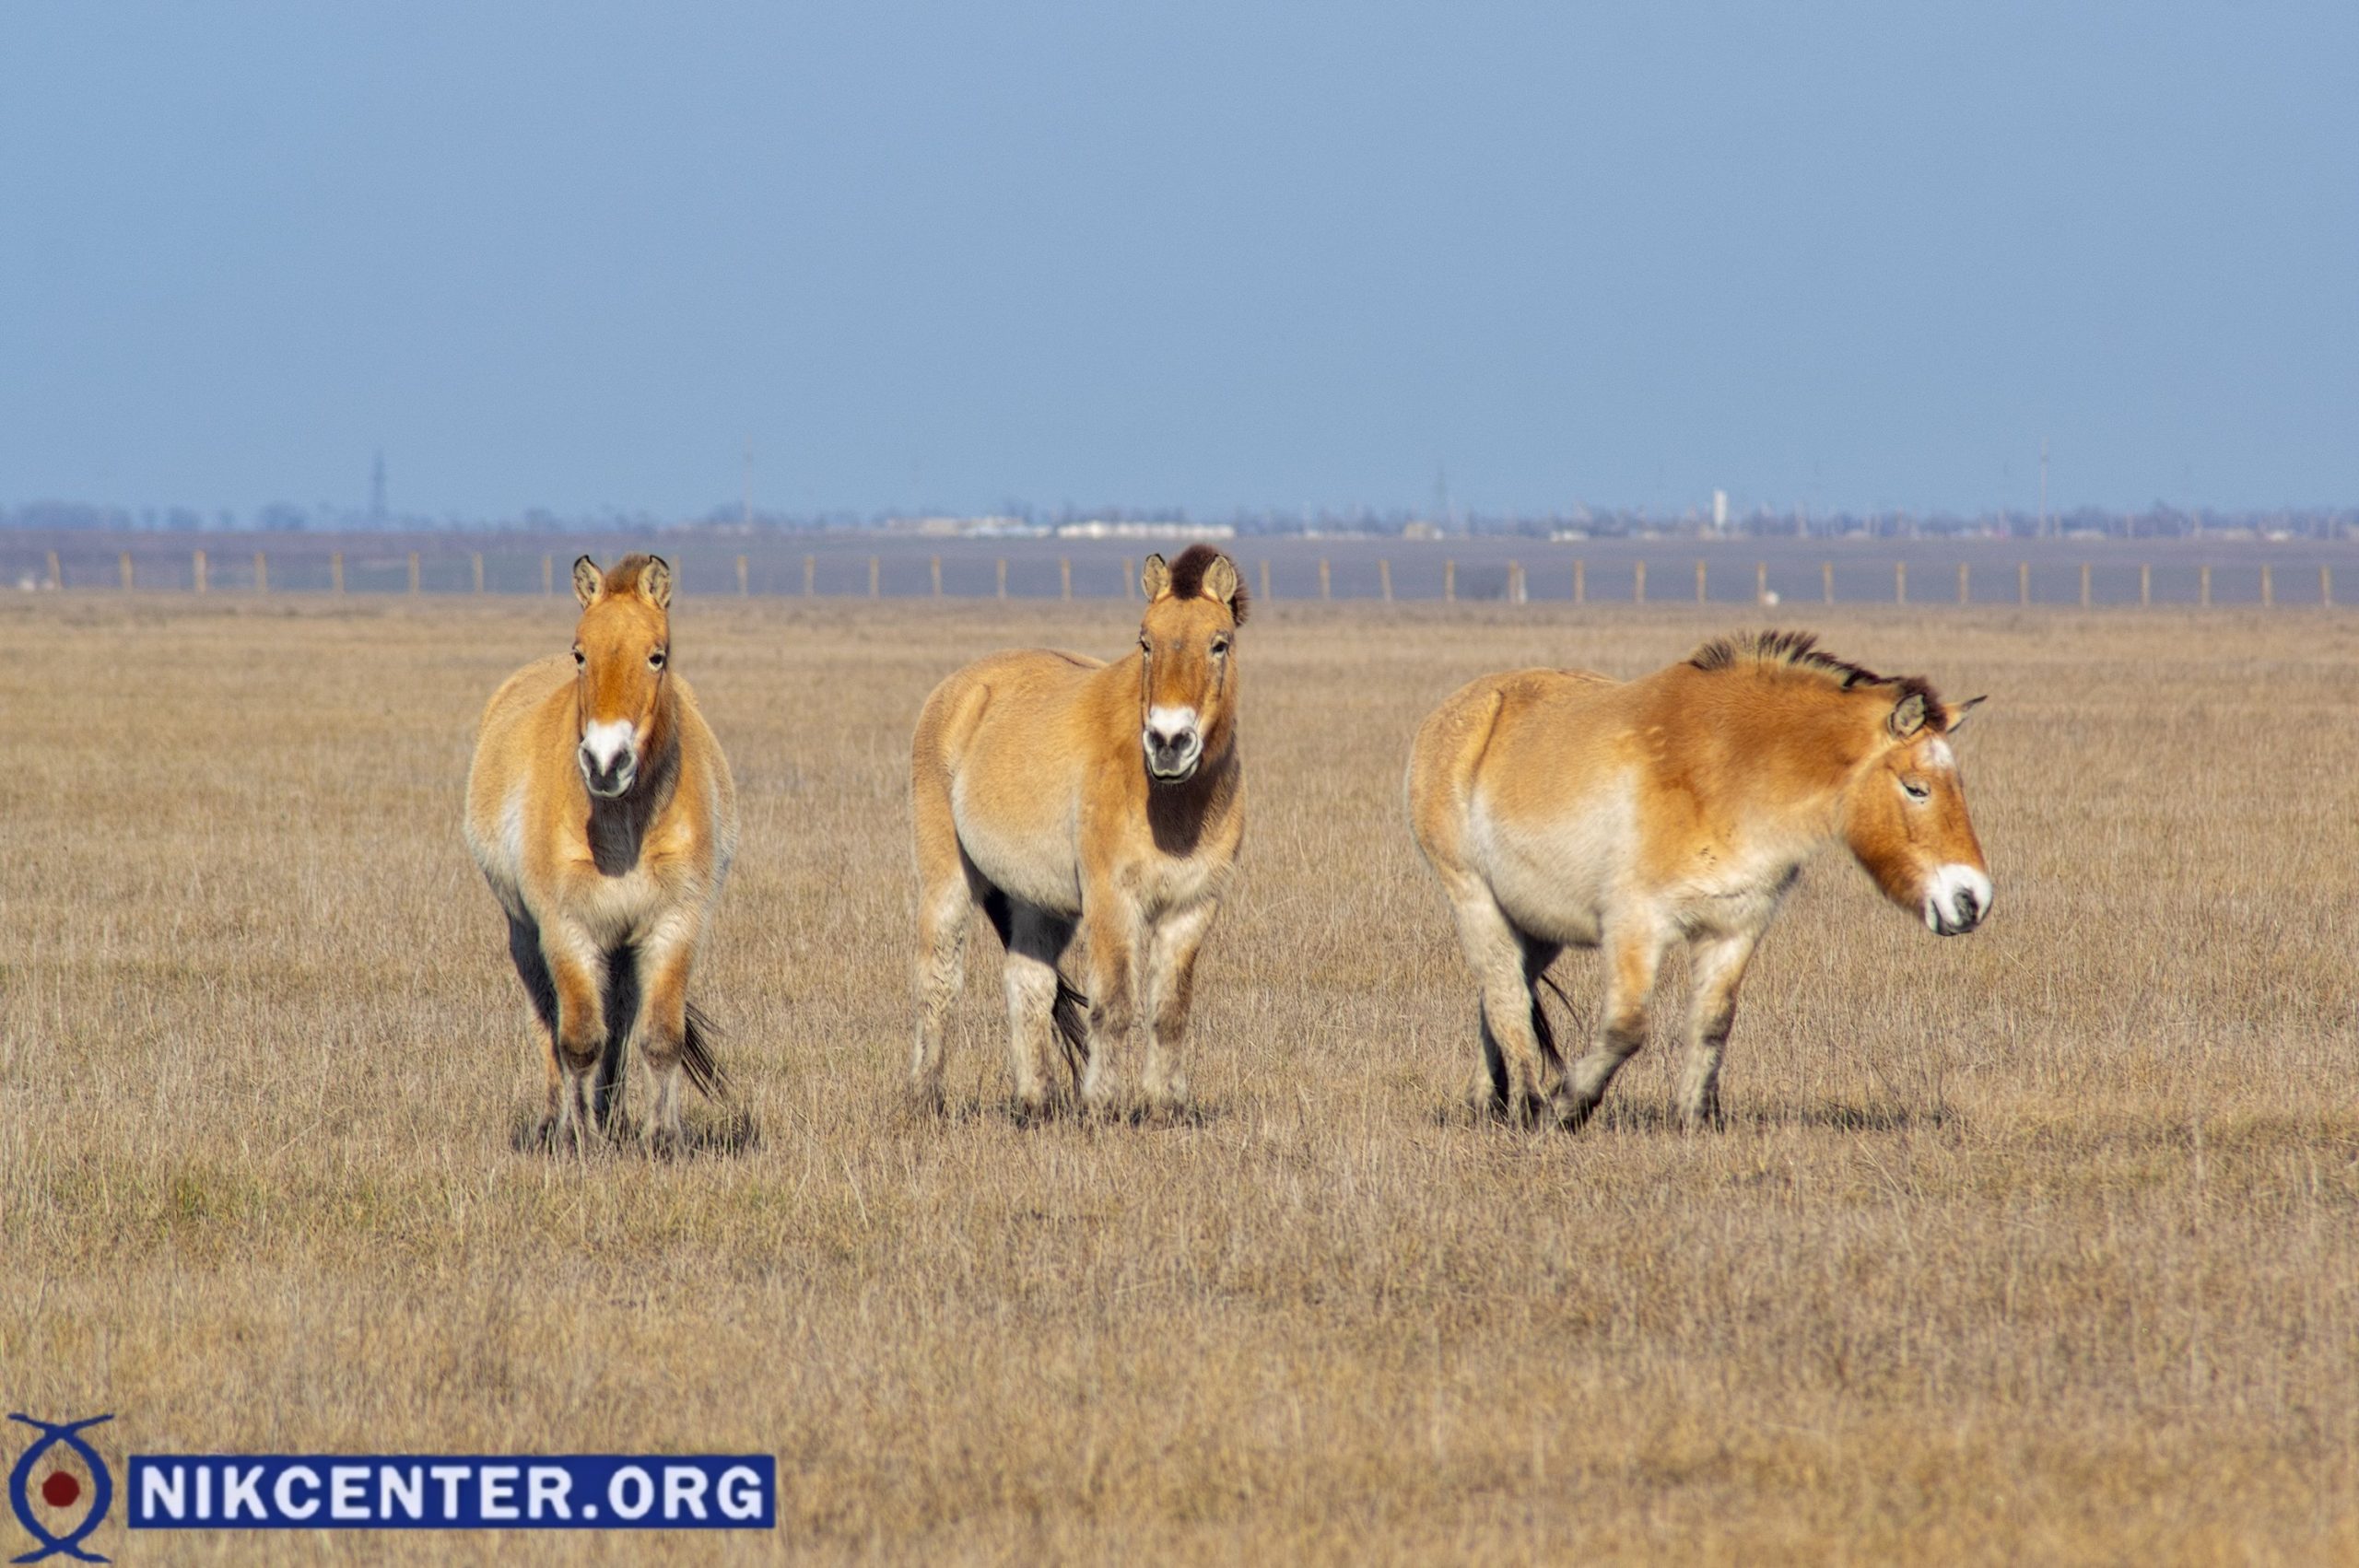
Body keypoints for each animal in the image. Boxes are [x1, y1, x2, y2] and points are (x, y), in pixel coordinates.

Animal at [464, 549, 740, 1150]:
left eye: (657, 656)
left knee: (622, 1022)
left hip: (622, 949)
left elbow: (660, 1037)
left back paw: (613, 1117)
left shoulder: (674, 927)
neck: (623, 832)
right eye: (580, 653)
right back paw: (556, 1123)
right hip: (528, 939)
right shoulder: (567, 931)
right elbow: (578, 1040)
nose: (605, 763)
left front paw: (664, 1139)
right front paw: (582, 1141)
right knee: (549, 1023)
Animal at [906, 544, 1254, 1117]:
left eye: (1219, 643)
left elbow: (1170, 1011)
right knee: (938, 980)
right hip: (948, 881)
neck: (1170, 804)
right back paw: (924, 1095)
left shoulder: (1192, 908)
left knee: (1027, 982)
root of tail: (959, 689)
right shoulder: (1111, 902)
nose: (1168, 742)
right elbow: (1113, 1007)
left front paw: (1163, 1107)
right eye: (1145, 641)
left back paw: (1036, 1102)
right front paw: (1102, 1106)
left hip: (1035, 901)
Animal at [1396, 622, 1990, 1127]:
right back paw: (1526, 1106)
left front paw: (1695, 1121)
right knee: (1506, 997)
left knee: (1500, 996)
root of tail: (1455, 711)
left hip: (1537, 926)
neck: (1729, 771)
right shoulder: (1636, 925)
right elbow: (1626, 1029)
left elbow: (1712, 1024)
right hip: (1475, 901)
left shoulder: (1736, 928)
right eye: (1916, 787)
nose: (1972, 899)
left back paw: (1487, 1104)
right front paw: (1567, 1108)